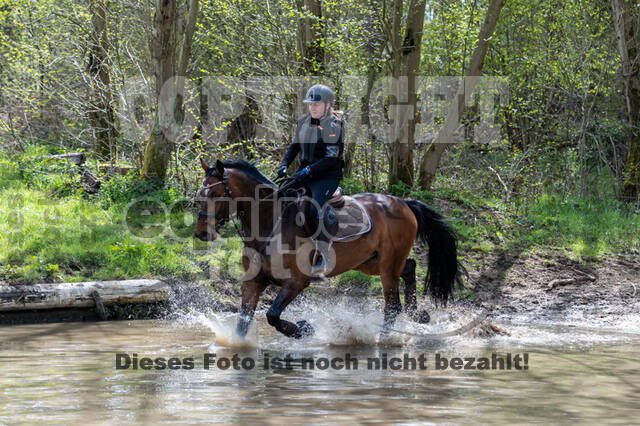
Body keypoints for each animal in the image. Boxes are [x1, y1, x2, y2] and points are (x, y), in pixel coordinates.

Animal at [192, 158, 462, 342]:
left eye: (216, 194)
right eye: (200, 194)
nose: (201, 233)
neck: (270, 224)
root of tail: (403, 203)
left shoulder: (297, 282)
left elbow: (272, 315)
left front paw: (304, 328)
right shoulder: (253, 282)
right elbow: (243, 322)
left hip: (386, 267)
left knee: (392, 304)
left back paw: (385, 340)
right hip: (369, 263)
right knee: (409, 268)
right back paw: (417, 314)